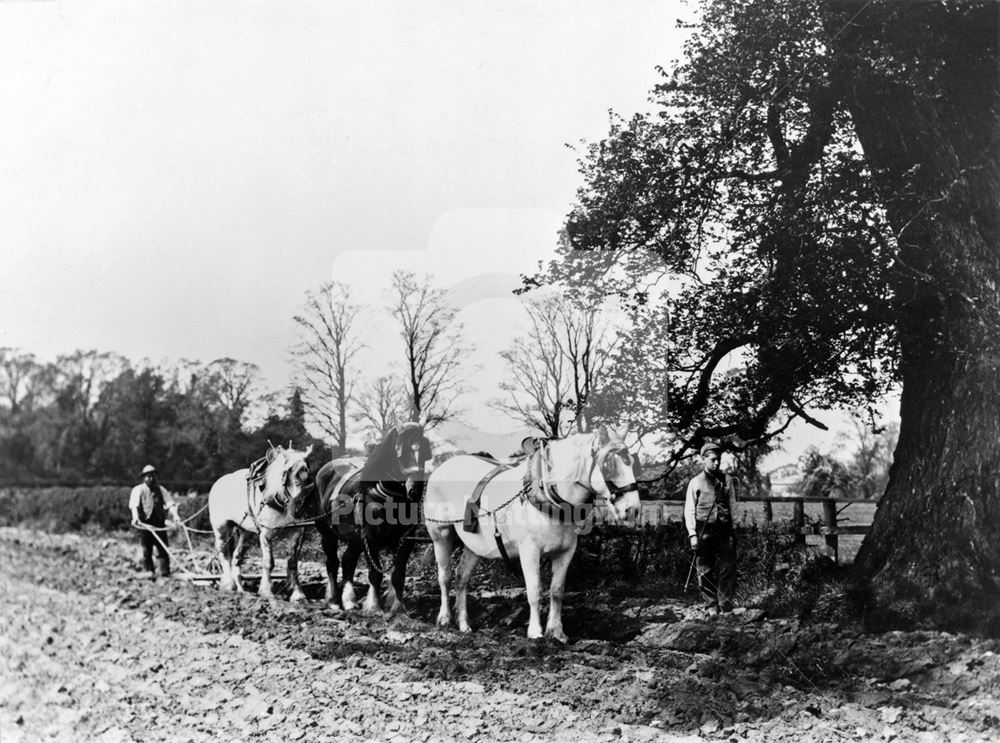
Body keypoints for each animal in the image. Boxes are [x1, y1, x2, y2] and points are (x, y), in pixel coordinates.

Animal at [204, 444, 310, 600]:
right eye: (288, 475)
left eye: (307, 476)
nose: (298, 508)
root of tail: (218, 482)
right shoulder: (266, 533)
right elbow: (268, 562)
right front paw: (266, 591)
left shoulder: (296, 532)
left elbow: (292, 563)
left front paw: (298, 594)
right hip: (221, 528)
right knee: (223, 553)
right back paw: (229, 584)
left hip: (246, 532)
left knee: (236, 557)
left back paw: (242, 590)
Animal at [314, 424, 432, 616]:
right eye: (401, 454)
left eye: (423, 454)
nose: (415, 490)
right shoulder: (370, 539)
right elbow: (375, 575)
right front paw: (374, 606)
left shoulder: (406, 540)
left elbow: (398, 575)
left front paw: (398, 607)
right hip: (328, 534)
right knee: (332, 563)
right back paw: (333, 600)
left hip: (355, 539)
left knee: (348, 562)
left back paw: (348, 600)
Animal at [424, 428, 640, 644]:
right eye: (609, 466)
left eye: (633, 463)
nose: (633, 510)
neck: (548, 495)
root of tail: (442, 467)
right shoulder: (529, 551)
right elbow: (535, 591)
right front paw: (535, 632)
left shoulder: (566, 552)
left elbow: (557, 591)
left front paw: (557, 632)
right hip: (441, 535)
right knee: (445, 577)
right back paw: (444, 618)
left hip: (475, 546)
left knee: (462, 577)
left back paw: (463, 624)